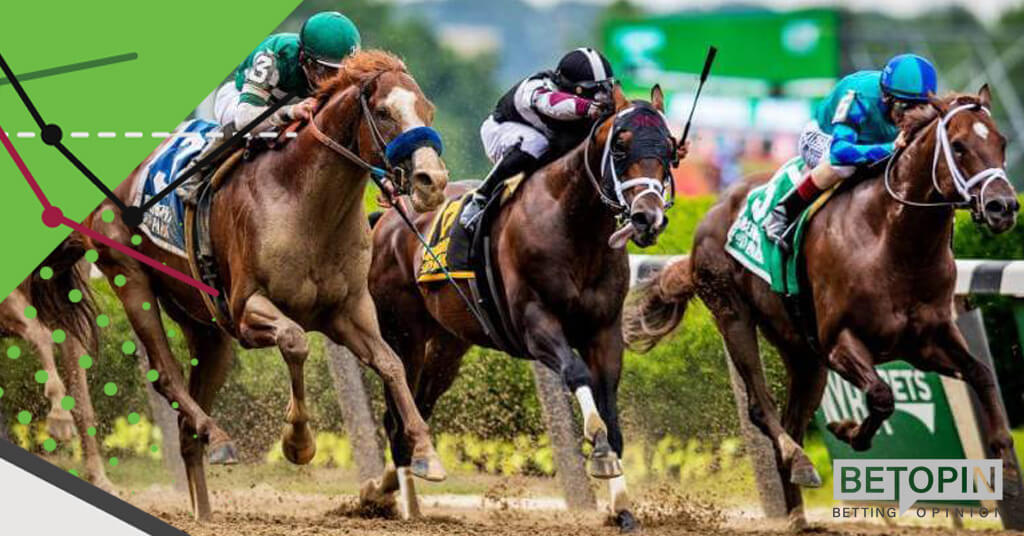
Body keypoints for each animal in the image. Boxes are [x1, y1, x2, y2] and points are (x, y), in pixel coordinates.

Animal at [51, 50, 450, 521]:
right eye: (385, 112)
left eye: (429, 110)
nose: (433, 182)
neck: (304, 202)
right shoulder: (246, 310)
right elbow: (295, 340)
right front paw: (298, 442)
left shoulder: (349, 310)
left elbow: (390, 364)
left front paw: (426, 453)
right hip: (130, 278)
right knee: (166, 375)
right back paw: (220, 438)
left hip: (207, 330)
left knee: (187, 423)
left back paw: (205, 508)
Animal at [365, 84, 677, 532]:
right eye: (620, 145)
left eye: (670, 148)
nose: (647, 217)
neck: (574, 227)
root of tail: (389, 219)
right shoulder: (535, 325)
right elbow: (576, 374)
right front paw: (599, 451)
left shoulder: (604, 332)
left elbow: (610, 407)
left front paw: (622, 506)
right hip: (403, 333)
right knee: (396, 415)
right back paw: (407, 505)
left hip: (448, 345)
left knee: (419, 405)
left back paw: (391, 487)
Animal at [623, 87, 1020, 528]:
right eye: (959, 145)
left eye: (1001, 142)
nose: (1004, 206)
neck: (894, 242)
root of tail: (713, 212)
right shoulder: (839, 343)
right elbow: (882, 395)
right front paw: (848, 431)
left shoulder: (927, 340)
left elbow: (981, 374)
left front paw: (1007, 468)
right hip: (733, 314)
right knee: (762, 406)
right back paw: (799, 461)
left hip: (803, 354)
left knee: (793, 419)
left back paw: (797, 513)